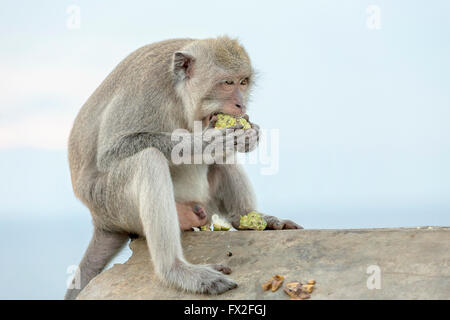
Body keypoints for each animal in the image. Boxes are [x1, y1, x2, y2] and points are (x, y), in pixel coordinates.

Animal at [64, 37, 302, 300]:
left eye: (243, 82)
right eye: (227, 83)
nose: (241, 104)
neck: (177, 94)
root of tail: (101, 221)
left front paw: (252, 135)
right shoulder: (144, 91)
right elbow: (110, 152)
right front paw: (205, 142)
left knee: (220, 160)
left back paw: (245, 217)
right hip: (111, 205)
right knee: (148, 161)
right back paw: (177, 271)